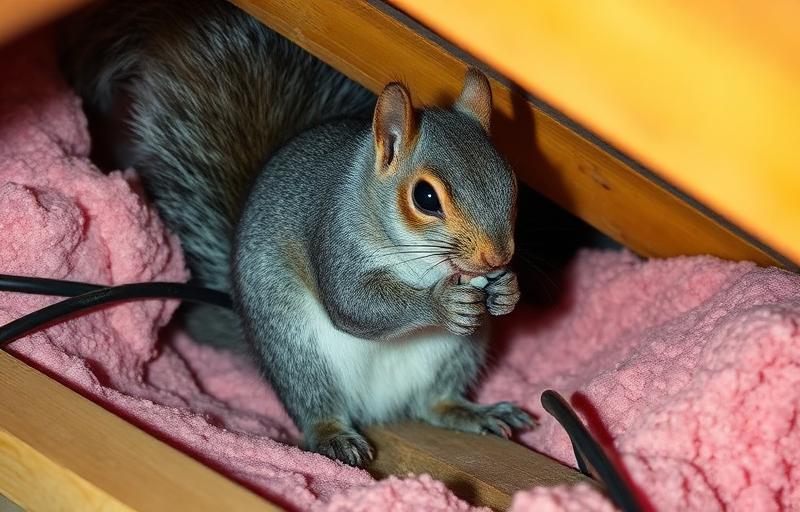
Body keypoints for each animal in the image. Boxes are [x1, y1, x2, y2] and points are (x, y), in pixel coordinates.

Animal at [62, 0, 535, 466]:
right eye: (426, 197)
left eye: (511, 180)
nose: (496, 258)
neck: (424, 261)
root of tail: (379, 409)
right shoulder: (333, 236)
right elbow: (353, 303)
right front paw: (441, 303)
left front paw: (507, 290)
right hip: (296, 349)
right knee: (317, 404)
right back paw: (335, 437)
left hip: (458, 352)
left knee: (432, 403)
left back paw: (473, 412)